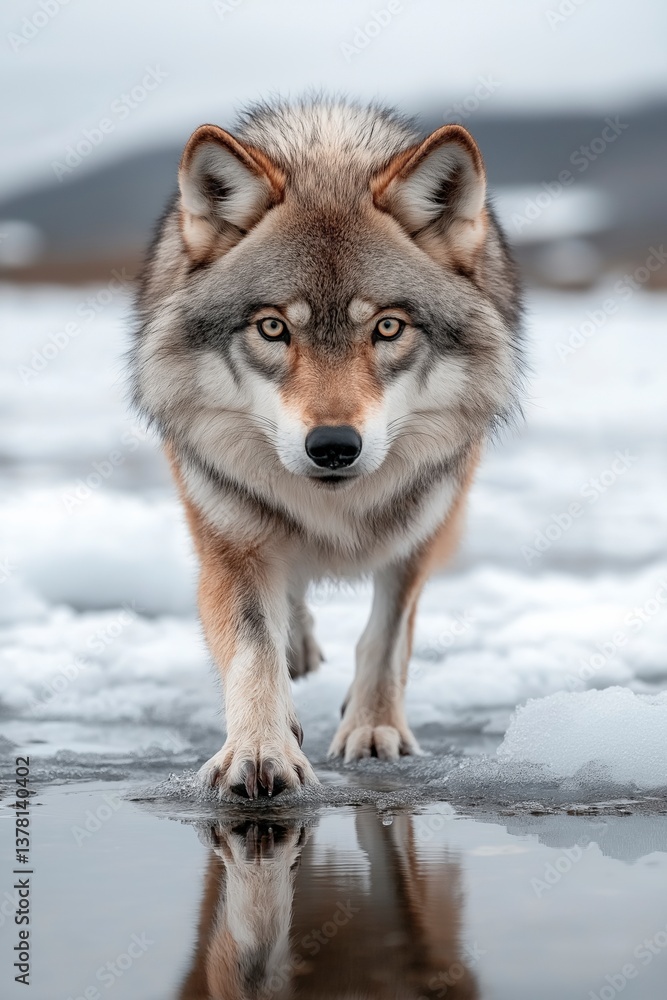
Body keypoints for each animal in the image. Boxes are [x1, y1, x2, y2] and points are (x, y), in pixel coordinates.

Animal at [131, 97, 523, 799]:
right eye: (273, 327)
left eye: (388, 327)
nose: (335, 447)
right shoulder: (229, 533)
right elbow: (254, 648)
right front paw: (260, 749)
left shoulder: (423, 526)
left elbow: (387, 636)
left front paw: (374, 729)